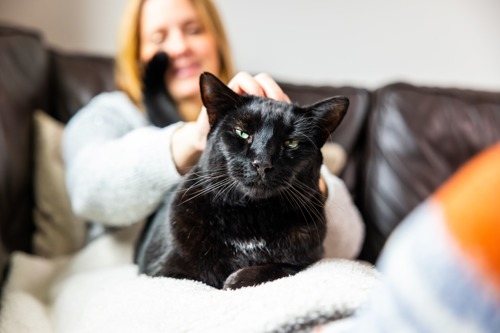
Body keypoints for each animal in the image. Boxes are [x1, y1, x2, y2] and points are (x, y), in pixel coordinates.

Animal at [135, 70, 350, 288]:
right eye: (242, 133)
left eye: (291, 143)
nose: (262, 162)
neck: (251, 216)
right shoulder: (162, 270)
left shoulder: (309, 258)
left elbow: (279, 268)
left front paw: (236, 279)